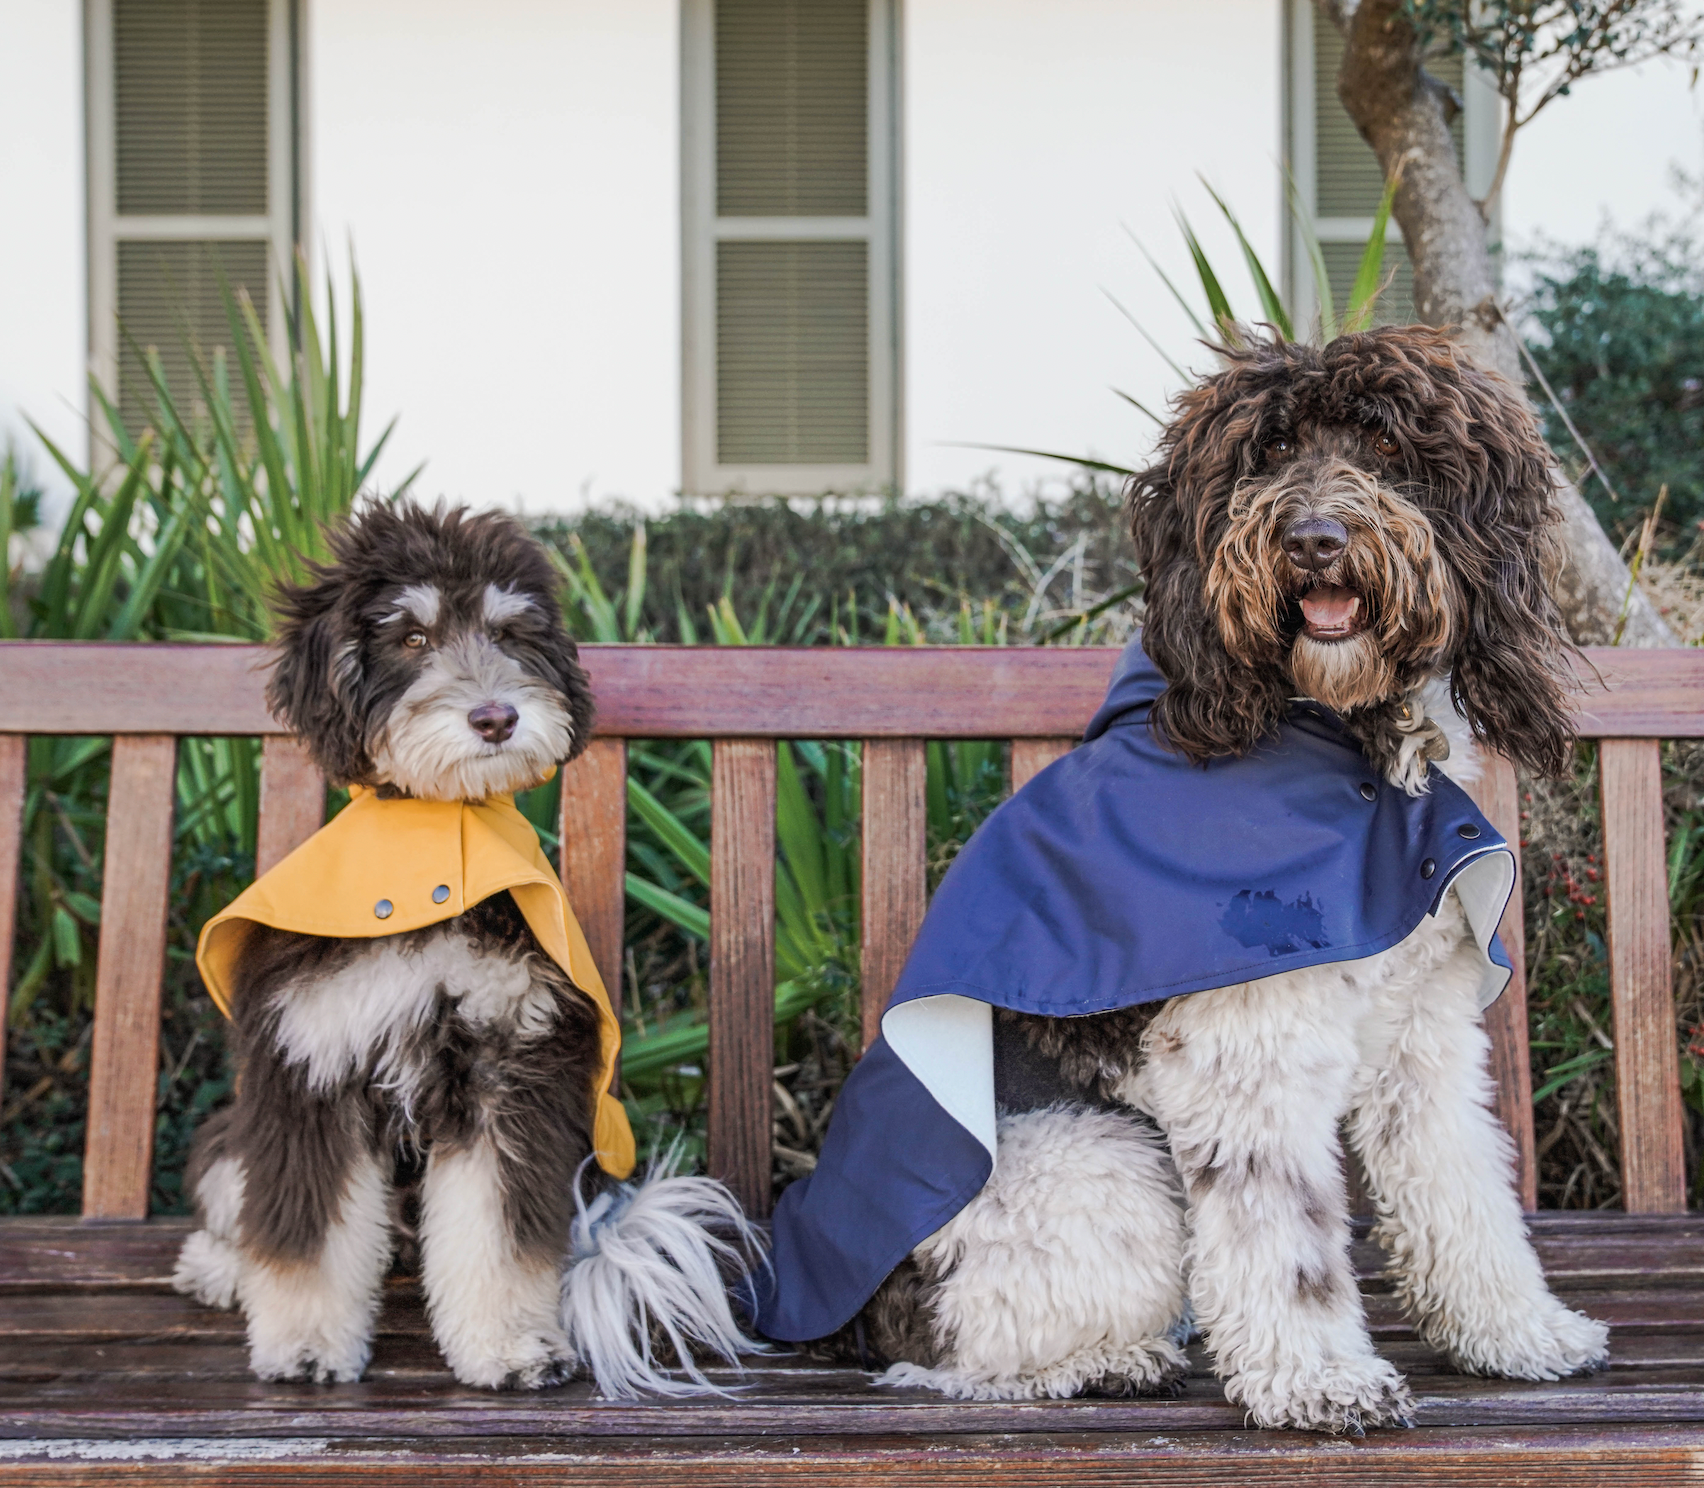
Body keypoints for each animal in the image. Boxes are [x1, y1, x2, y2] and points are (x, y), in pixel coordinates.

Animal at [172, 497, 759, 1390]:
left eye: (511, 632)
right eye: (411, 637)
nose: (496, 717)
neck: (430, 875)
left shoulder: (511, 1070)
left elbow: (496, 1234)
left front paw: (510, 1345)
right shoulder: (312, 1063)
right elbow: (310, 1237)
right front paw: (306, 1345)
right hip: (231, 1131)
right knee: (239, 1198)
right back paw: (219, 1266)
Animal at [838, 327, 1608, 1424]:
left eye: (1389, 443)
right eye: (1270, 448)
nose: (1315, 539)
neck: (1345, 739)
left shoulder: (1421, 1034)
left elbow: (1461, 1185)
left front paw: (1515, 1333)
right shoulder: (1249, 1046)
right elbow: (1286, 1235)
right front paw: (1320, 1379)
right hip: (1103, 1163)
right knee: (959, 1355)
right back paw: (1107, 1360)